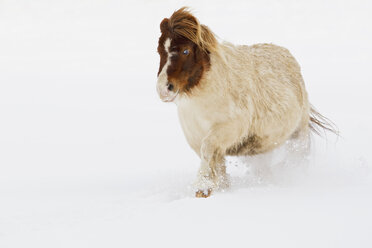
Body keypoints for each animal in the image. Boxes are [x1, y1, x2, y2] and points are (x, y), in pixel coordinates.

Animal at [155, 7, 336, 198]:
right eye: (159, 51)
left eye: (185, 51)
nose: (163, 89)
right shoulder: (198, 139)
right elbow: (217, 166)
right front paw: (217, 188)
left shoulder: (227, 130)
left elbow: (208, 150)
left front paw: (202, 187)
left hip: (298, 135)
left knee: (298, 159)